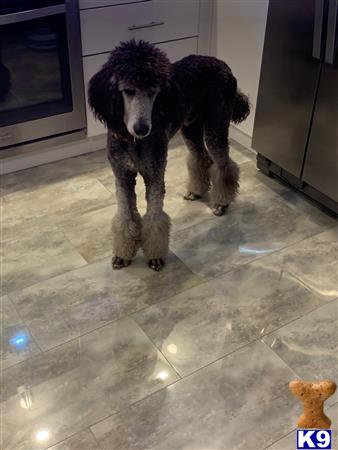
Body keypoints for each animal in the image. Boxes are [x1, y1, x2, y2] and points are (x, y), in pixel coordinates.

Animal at [88, 39, 250, 270]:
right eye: (128, 90)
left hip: (215, 127)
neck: (133, 141)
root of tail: (222, 63)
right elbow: (125, 216)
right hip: (191, 128)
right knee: (201, 158)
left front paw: (155, 256)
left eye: (154, 92)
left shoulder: (154, 175)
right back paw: (196, 191)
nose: (142, 129)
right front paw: (123, 255)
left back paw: (221, 202)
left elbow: (155, 218)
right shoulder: (122, 175)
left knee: (225, 166)